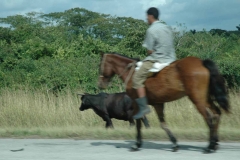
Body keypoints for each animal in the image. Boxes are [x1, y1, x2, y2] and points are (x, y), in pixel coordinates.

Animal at [98, 52, 230, 152]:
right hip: (205, 98)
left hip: (197, 99)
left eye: (100, 65)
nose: (100, 84)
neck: (132, 72)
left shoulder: (137, 104)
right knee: (217, 113)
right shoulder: (158, 104)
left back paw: (210, 146)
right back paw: (215, 143)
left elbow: (139, 123)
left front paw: (137, 144)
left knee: (209, 117)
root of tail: (201, 62)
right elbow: (162, 124)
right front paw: (174, 143)